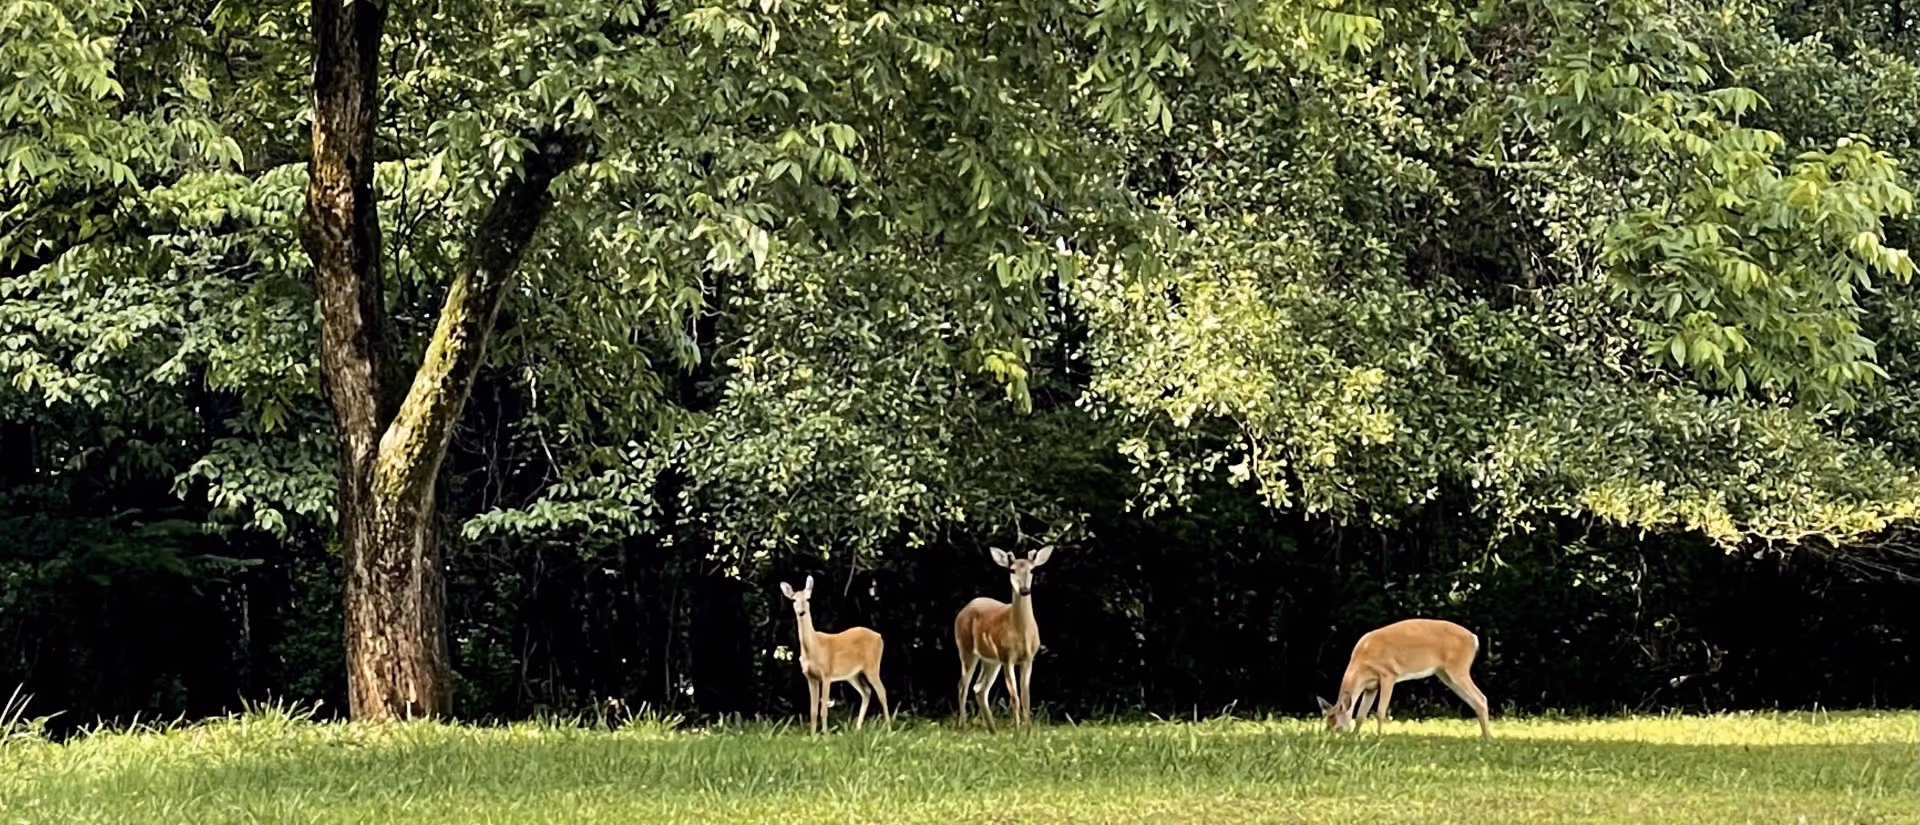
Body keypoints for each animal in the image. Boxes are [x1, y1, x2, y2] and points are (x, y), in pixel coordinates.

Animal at [779, 576, 891, 734]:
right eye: (794, 600)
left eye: (808, 599)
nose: (801, 612)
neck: (814, 648)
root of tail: (879, 637)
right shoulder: (810, 677)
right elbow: (813, 710)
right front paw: (812, 735)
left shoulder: (826, 674)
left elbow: (823, 709)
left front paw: (826, 734)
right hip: (852, 674)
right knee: (866, 692)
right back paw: (857, 729)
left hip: (872, 666)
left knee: (882, 692)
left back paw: (889, 729)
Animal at [954, 545, 1053, 730]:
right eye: (1012, 570)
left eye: (1032, 570)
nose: (1024, 590)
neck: (1022, 634)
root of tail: (964, 608)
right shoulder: (1007, 657)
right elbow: (1014, 697)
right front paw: (1017, 730)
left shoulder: (1028, 658)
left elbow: (1026, 697)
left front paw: (1028, 731)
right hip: (966, 648)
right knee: (963, 685)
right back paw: (963, 728)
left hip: (991, 660)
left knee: (979, 687)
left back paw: (992, 729)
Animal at [1316, 618, 1492, 740]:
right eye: (1326, 717)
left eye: (1334, 718)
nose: (1327, 733)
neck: (1361, 662)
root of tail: (1474, 638)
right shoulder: (1371, 687)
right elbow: (1360, 715)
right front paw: (1354, 737)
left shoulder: (1388, 674)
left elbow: (1380, 712)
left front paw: (1378, 737)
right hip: (1446, 674)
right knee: (1474, 701)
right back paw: (1484, 737)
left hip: (1458, 669)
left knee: (1481, 698)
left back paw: (1489, 738)